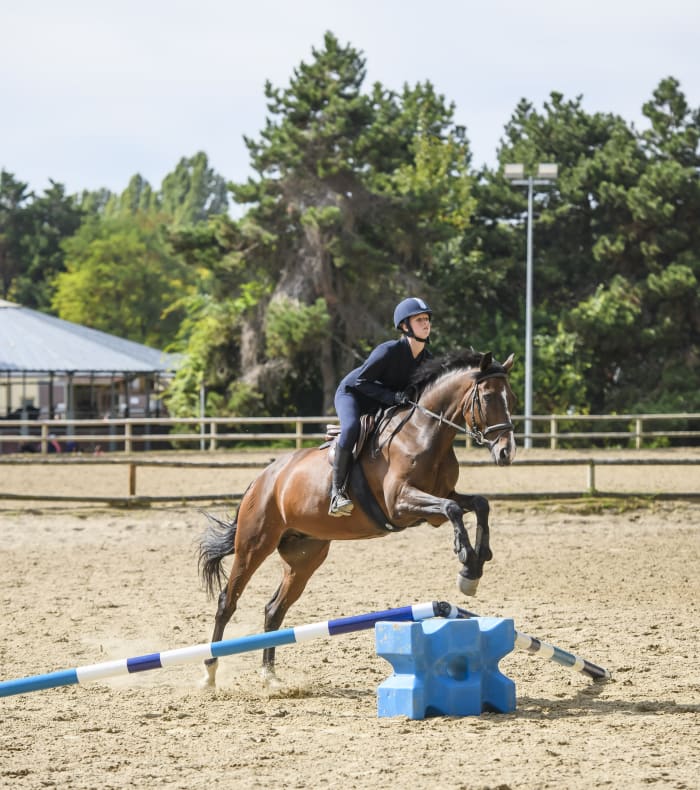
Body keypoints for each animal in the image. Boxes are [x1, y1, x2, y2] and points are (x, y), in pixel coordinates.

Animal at [197, 349, 516, 687]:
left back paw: (270, 675)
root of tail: (262, 479)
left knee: (274, 609)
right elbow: (453, 510)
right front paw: (466, 561)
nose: (506, 453)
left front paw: (475, 566)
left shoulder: (441, 500)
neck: (423, 434)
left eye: (512, 398)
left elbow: (478, 504)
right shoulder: (400, 504)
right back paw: (210, 672)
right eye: (488, 397)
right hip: (254, 545)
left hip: (305, 556)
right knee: (227, 601)